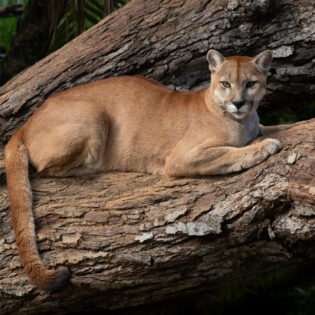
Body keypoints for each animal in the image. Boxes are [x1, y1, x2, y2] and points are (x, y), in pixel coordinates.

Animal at [4, 49, 288, 292]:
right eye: (226, 84)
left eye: (250, 83)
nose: (238, 103)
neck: (242, 121)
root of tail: (25, 124)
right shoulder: (181, 157)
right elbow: (230, 153)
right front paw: (263, 147)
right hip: (94, 114)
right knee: (45, 168)